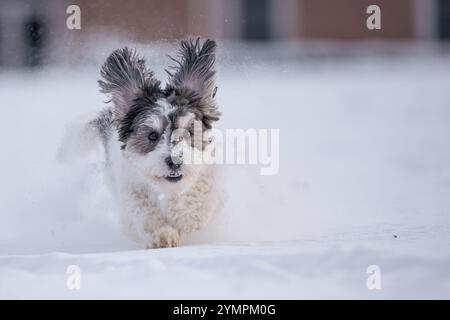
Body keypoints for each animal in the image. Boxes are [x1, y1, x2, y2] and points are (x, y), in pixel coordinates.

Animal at [77, 38, 227, 249]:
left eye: (188, 132)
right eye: (152, 136)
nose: (175, 161)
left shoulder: (209, 172)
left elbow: (200, 194)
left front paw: (184, 218)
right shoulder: (130, 185)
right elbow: (143, 210)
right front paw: (163, 235)